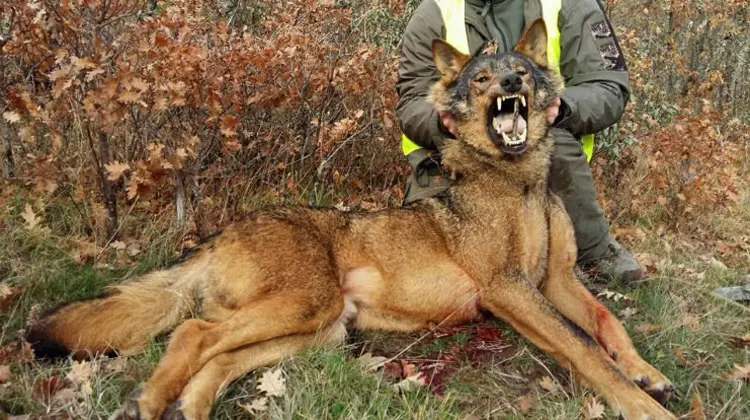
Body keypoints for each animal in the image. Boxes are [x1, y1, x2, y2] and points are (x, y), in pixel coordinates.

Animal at [26, 20, 677, 420]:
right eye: (482, 79)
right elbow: (584, 348)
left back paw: (190, 406)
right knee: (190, 332)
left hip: (320, 327)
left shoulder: (555, 280)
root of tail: (224, 231)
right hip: (305, 307)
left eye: (524, 70)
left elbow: (606, 324)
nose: (514, 81)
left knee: (215, 353)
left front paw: (647, 374)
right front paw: (643, 405)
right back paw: (149, 401)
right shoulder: (510, 288)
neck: (517, 180)